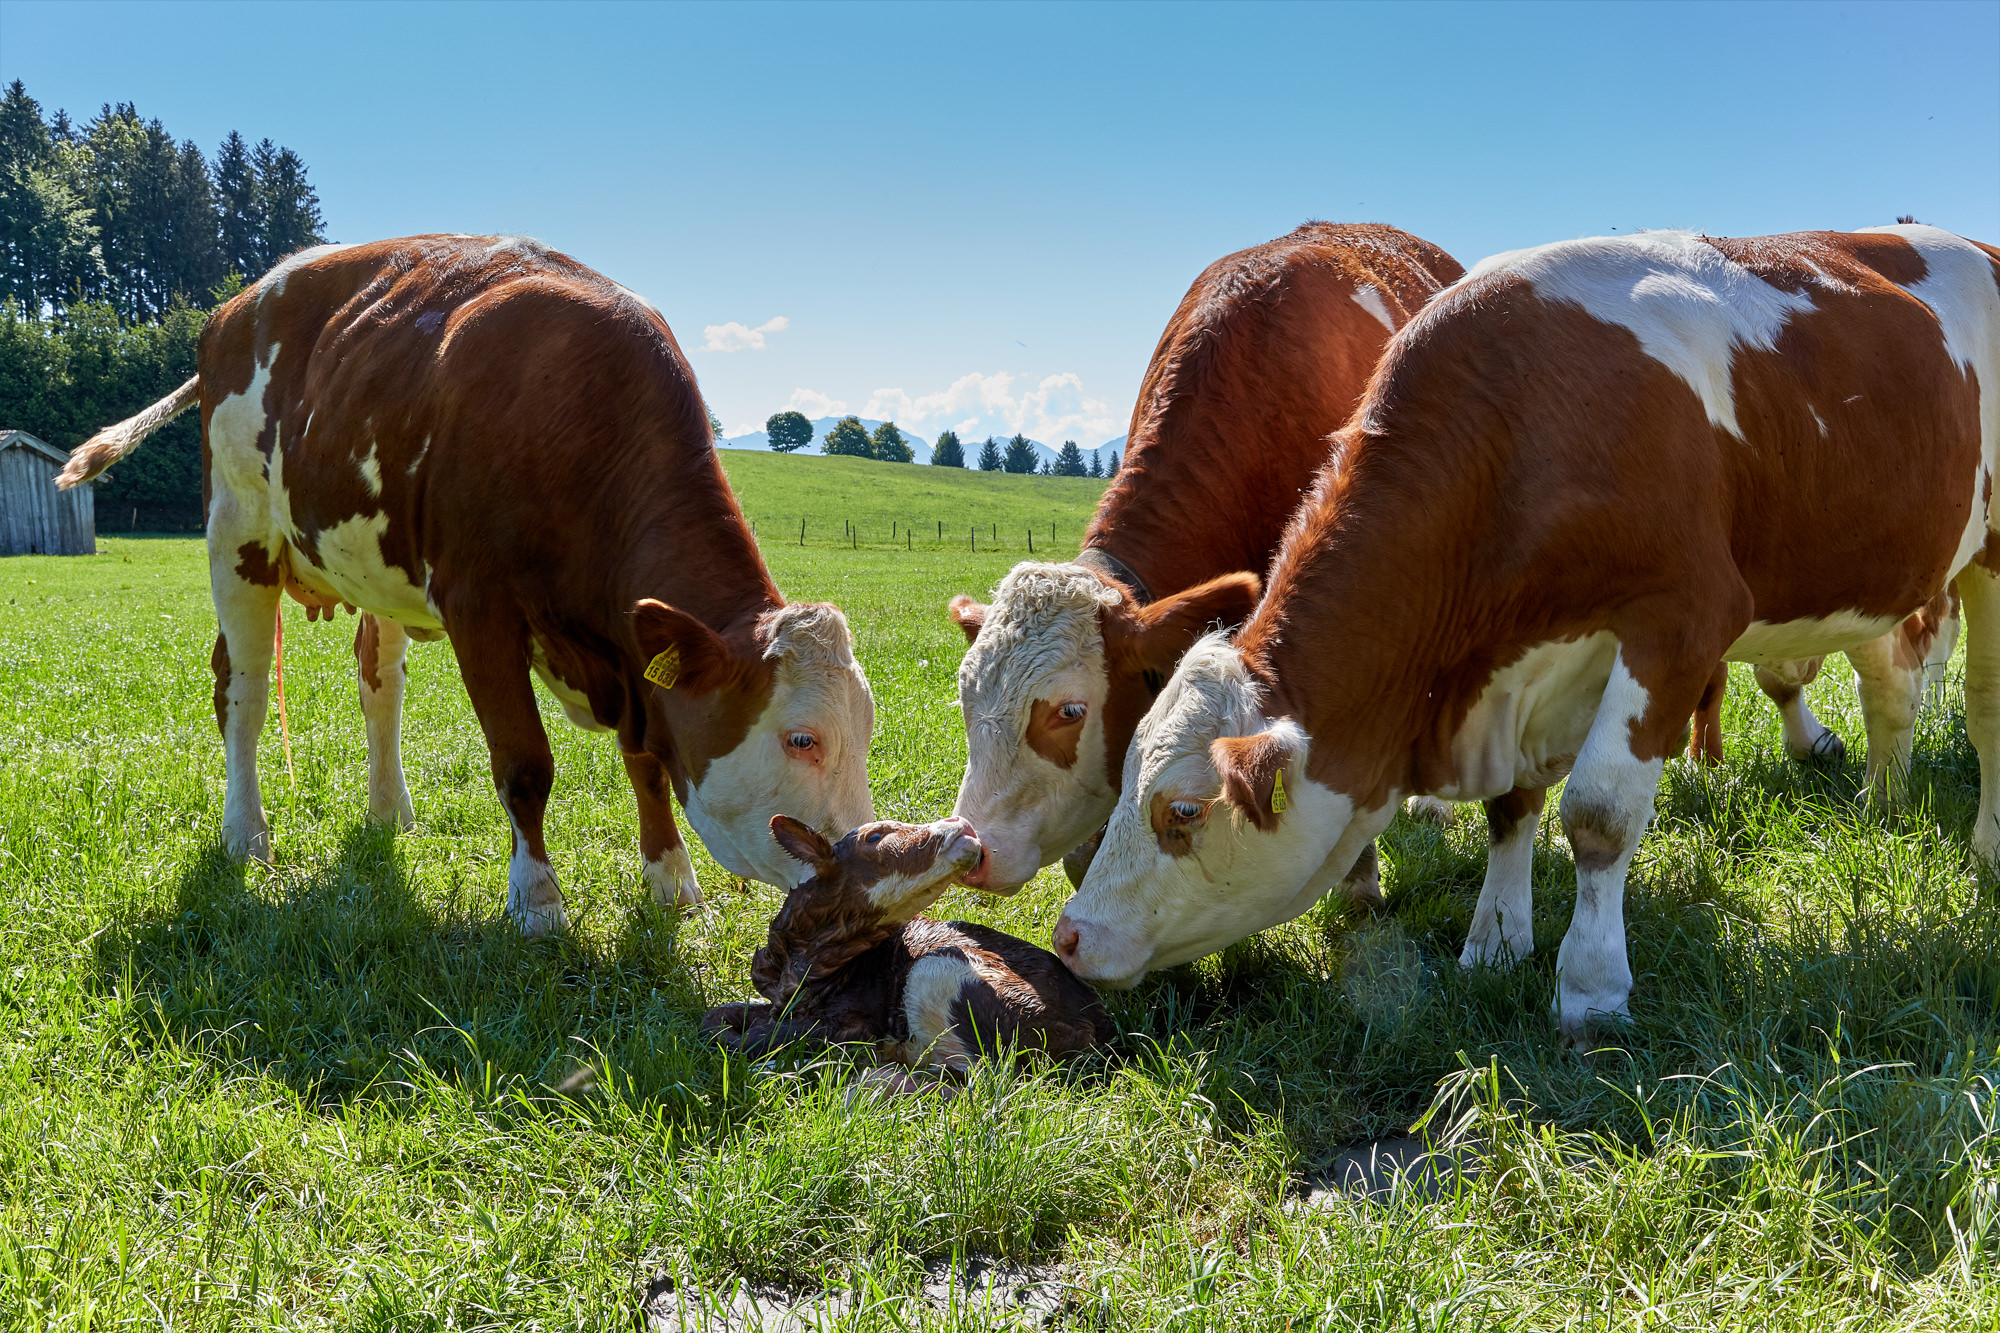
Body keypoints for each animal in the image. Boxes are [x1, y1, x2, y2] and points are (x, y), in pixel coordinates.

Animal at [56, 235, 877, 934]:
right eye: (802, 739)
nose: (863, 865)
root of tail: (236, 306)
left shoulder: (630, 650)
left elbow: (645, 758)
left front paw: (673, 883)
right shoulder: (480, 607)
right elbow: (524, 762)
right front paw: (539, 900)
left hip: (375, 564)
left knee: (378, 680)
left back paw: (389, 811)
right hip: (237, 529)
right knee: (243, 688)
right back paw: (247, 834)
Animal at [1052, 224, 2000, 1035]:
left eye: (1182, 810)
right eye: (1120, 765)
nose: (1068, 934)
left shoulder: (1683, 618)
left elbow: (1601, 813)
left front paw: (1591, 987)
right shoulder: (1527, 664)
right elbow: (1513, 805)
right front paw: (1496, 941)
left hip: (1989, 556)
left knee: (1984, 707)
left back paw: (1988, 847)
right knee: (1893, 686)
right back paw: (1887, 798)